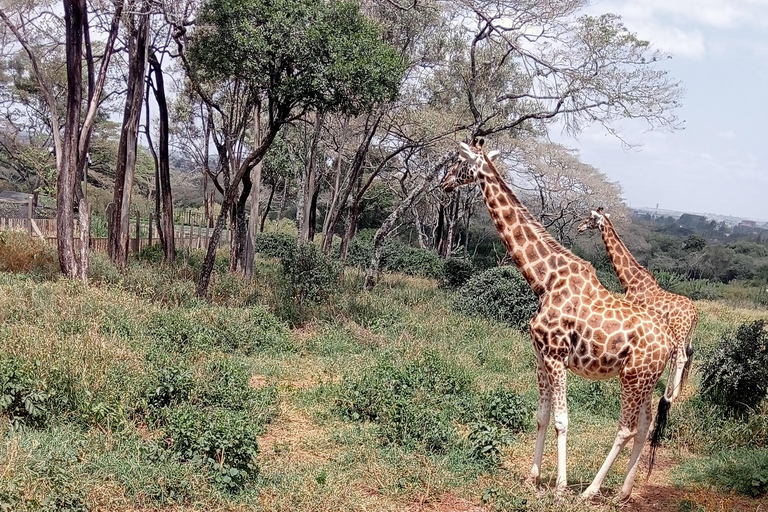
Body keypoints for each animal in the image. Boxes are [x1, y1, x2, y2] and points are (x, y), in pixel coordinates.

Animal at [440, 140, 676, 500]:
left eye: (460, 162)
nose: (444, 183)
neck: (544, 279)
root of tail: (672, 343)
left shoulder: (556, 355)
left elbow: (561, 420)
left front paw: (560, 487)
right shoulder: (539, 355)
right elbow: (541, 415)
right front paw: (532, 478)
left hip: (633, 377)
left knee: (626, 428)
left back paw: (590, 491)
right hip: (646, 379)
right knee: (644, 427)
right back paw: (622, 493)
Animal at [576, 209, 696, 456]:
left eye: (590, 218)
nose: (579, 227)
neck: (631, 280)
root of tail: (695, 312)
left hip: (679, 331)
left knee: (681, 357)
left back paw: (673, 395)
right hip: (684, 335)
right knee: (684, 357)